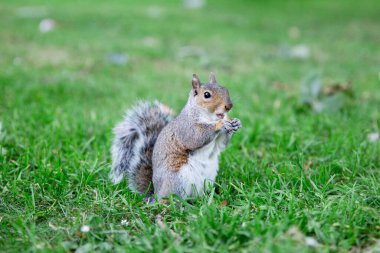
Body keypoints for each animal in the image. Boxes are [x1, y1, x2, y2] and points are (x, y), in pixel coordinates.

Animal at [110, 72, 242, 200]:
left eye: (225, 89)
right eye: (207, 95)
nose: (229, 106)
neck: (209, 117)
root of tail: (155, 195)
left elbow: (221, 144)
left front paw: (236, 123)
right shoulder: (185, 128)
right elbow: (196, 137)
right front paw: (220, 124)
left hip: (207, 180)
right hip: (177, 180)